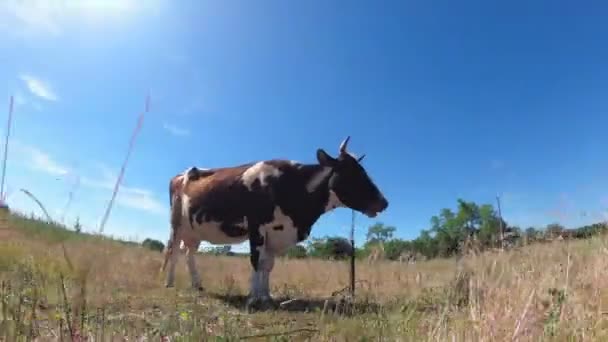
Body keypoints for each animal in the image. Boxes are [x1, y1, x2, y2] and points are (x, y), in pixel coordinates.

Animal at [160, 137, 390, 310]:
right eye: (352, 172)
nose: (384, 202)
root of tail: (182, 173)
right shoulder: (257, 226)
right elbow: (255, 261)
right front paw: (253, 298)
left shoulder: (275, 232)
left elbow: (267, 265)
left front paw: (266, 297)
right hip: (176, 224)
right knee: (174, 251)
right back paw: (169, 283)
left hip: (194, 230)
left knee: (188, 253)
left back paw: (197, 284)